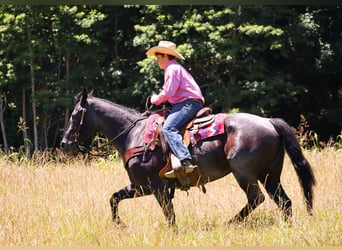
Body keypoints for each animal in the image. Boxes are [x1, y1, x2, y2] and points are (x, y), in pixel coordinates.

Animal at [60, 89, 316, 225]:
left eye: (74, 115)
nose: (64, 143)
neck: (134, 134)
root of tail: (269, 122)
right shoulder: (140, 186)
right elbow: (114, 198)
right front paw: (119, 225)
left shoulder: (157, 187)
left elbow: (169, 215)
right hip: (271, 174)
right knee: (284, 201)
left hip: (244, 173)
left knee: (256, 198)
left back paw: (230, 223)